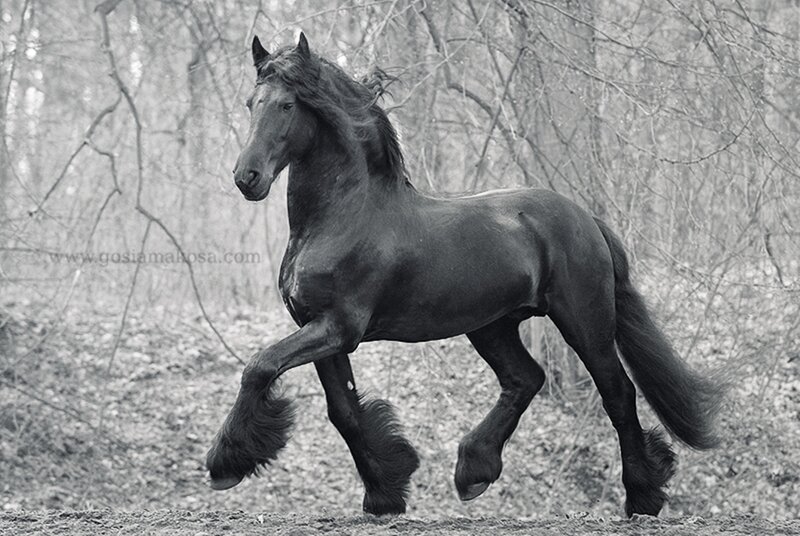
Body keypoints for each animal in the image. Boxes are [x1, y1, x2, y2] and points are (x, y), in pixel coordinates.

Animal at [206, 32, 723, 517]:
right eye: (251, 103)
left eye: (287, 104)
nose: (247, 178)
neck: (344, 218)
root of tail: (586, 219)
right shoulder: (319, 328)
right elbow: (344, 413)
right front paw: (385, 493)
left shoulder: (337, 327)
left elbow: (260, 367)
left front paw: (224, 466)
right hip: (492, 326)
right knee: (525, 380)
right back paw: (475, 472)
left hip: (585, 323)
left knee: (617, 394)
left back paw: (641, 497)